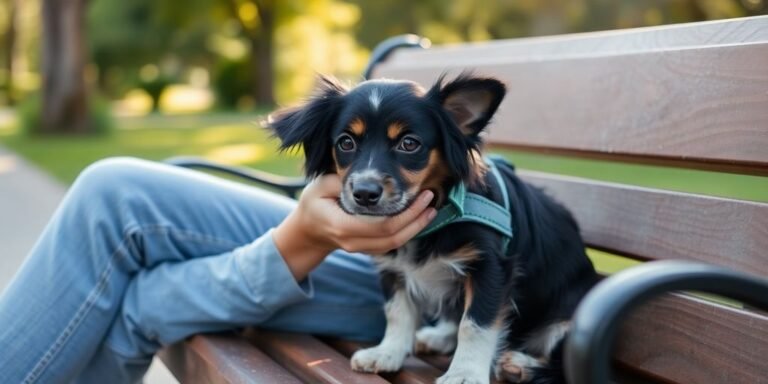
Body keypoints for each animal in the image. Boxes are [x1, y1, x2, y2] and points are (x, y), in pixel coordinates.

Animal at [268, 73, 600, 384]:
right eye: (346, 143)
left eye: (409, 143)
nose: (364, 193)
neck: (438, 214)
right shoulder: (394, 268)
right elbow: (397, 311)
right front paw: (388, 353)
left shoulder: (491, 268)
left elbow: (474, 324)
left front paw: (465, 373)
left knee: (562, 362)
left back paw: (522, 365)